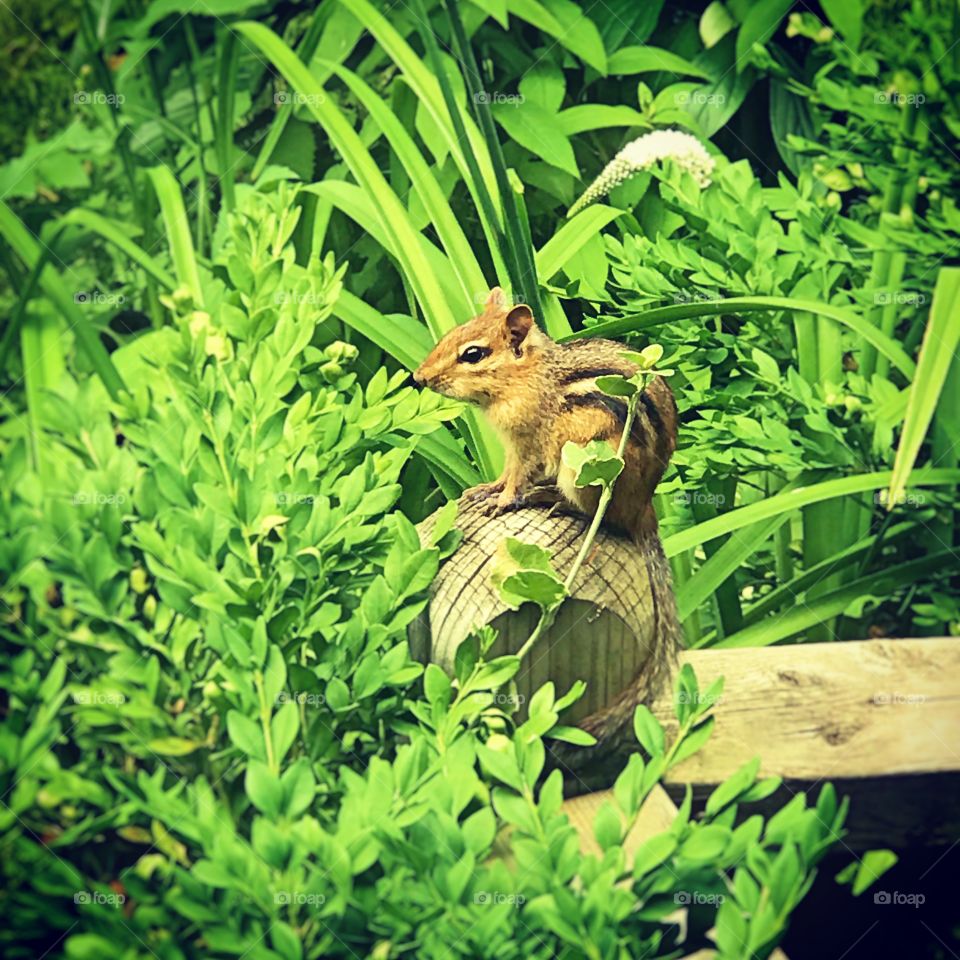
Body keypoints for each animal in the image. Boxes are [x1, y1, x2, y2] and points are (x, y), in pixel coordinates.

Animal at [413, 287, 681, 757]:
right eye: (450, 336)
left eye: (473, 354)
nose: (418, 377)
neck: (527, 376)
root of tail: (644, 511)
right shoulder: (512, 444)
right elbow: (506, 472)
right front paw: (484, 490)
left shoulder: (527, 439)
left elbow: (518, 474)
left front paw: (503, 501)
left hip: (586, 467)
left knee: (598, 515)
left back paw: (552, 499)